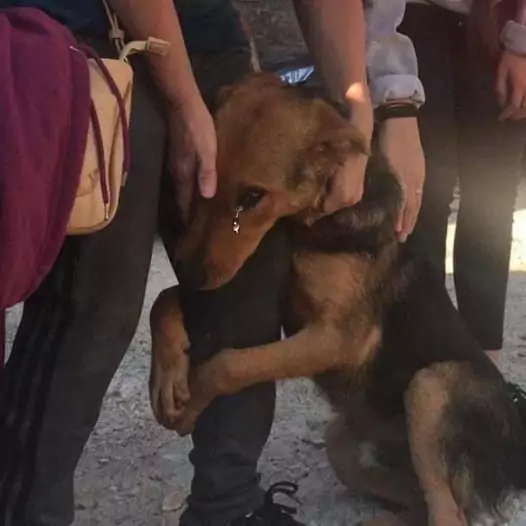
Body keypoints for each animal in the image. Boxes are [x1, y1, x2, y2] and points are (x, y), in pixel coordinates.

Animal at [150, 74, 526, 526]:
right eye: (202, 180)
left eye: (253, 197)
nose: (190, 272)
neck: (311, 222)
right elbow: (163, 300)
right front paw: (167, 378)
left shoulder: (338, 338)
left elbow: (228, 364)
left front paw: (190, 405)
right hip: (341, 443)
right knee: (420, 503)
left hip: (429, 388)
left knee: (447, 513)